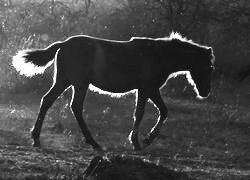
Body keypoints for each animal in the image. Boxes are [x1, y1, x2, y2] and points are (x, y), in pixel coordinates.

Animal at [12, 32, 215, 150]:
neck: (159, 55)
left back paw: (36, 138)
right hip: (79, 83)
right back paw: (93, 142)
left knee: (48, 101)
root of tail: (63, 44)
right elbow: (142, 113)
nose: (205, 92)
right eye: (209, 67)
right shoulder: (147, 88)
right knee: (74, 107)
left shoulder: (148, 90)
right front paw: (140, 141)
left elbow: (162, 111)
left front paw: (144, 139)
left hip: (65, 81)